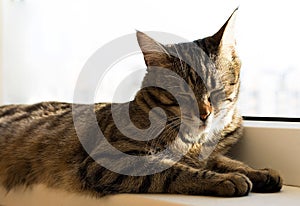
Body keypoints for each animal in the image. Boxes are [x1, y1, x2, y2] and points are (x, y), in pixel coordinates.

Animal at [0, 8, 282, 197]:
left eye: (216, 88)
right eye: (181, 91)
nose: (204, 114)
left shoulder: (205, 154)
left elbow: (222, 160)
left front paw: (258, 172)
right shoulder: (109, 161)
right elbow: (172, 170)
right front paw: (226, 179)